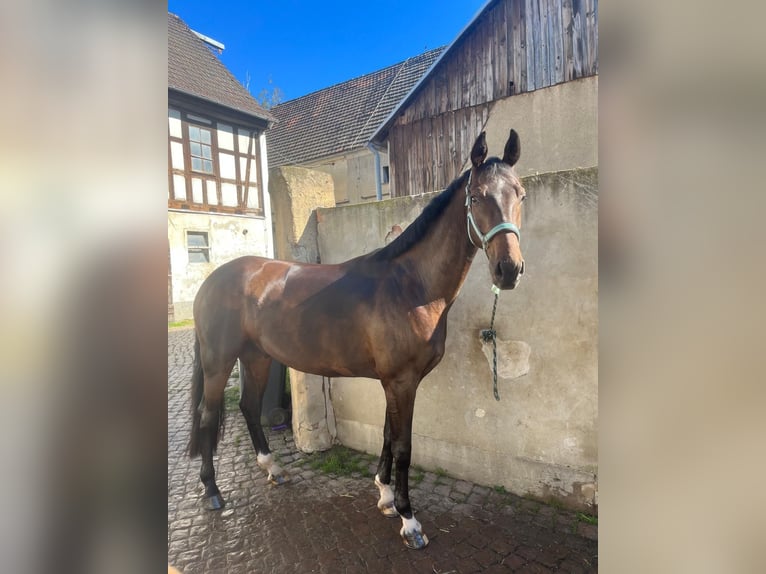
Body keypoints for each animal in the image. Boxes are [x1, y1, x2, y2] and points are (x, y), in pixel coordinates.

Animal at [190, 129, 528, 548]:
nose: (508, 269)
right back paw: (212, 491)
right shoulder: (401, 381)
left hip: (256, 357)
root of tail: (212, 279)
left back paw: (273, 469)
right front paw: (409, 521)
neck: (411, 286)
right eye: (478, 196)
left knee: (249, 407)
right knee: (207, 415)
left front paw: (385, 496)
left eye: (520, 194)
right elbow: (403, 446)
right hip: (218, 361)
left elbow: (386, 435)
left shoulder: (394, 381)